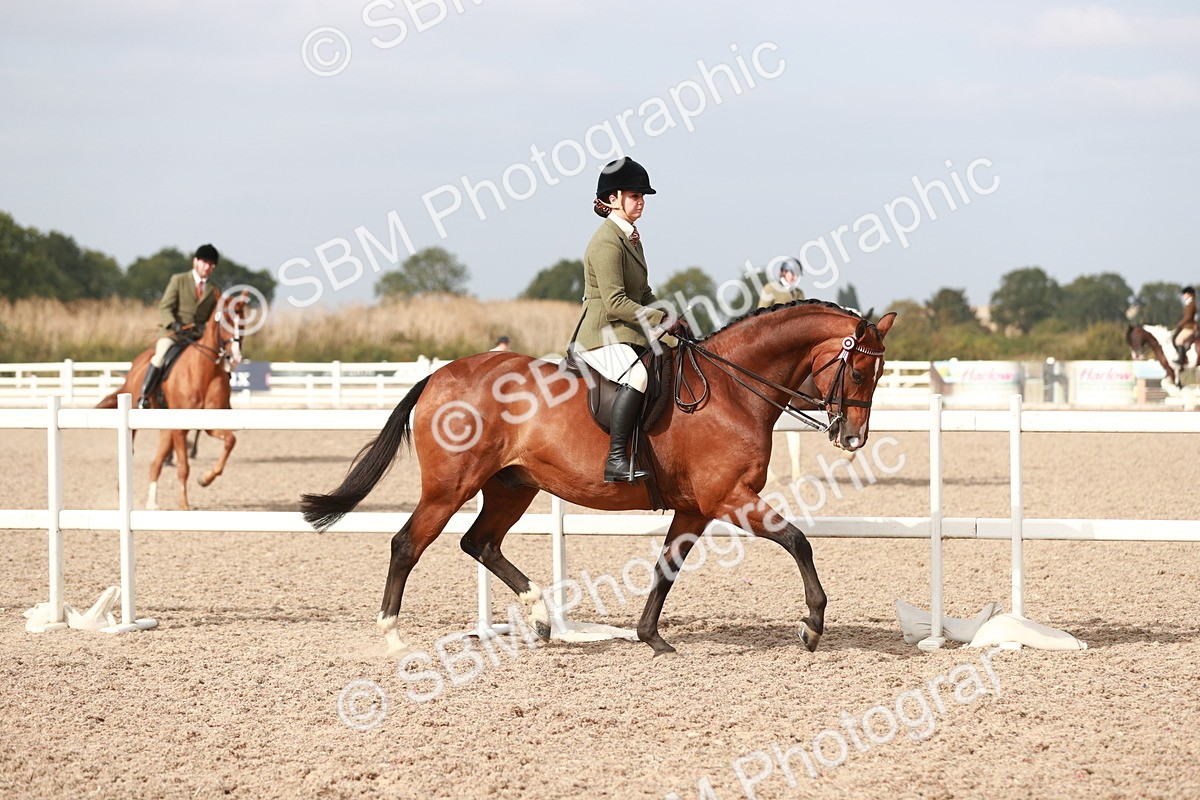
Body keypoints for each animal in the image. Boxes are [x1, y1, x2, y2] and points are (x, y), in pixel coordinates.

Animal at [98, 292, 248, 510]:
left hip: (166, 429)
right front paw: (184, 504)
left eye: (244, 321)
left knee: (156, 463)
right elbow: (184, 467)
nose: (235, 357)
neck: (205, 371)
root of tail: (136, 364)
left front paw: (205, 478)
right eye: (225, 320)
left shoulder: (210, 424)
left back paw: (152, 502)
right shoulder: (180, 429)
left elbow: (230, 441)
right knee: (131, 451)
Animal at [302, 300, 896, 658]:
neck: (732, 390)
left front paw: (651, 638)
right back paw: (393, 638)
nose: (853, 438)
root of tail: (438, 376)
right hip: (451, 488)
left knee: (481, 543)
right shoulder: (729, 497)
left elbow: (665, 567)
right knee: (408, 544)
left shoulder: (696, 507)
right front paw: (812, 626)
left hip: (512, 487)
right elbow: (798, 540)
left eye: (880, 371)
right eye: (859, 370)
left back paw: (541, 619)